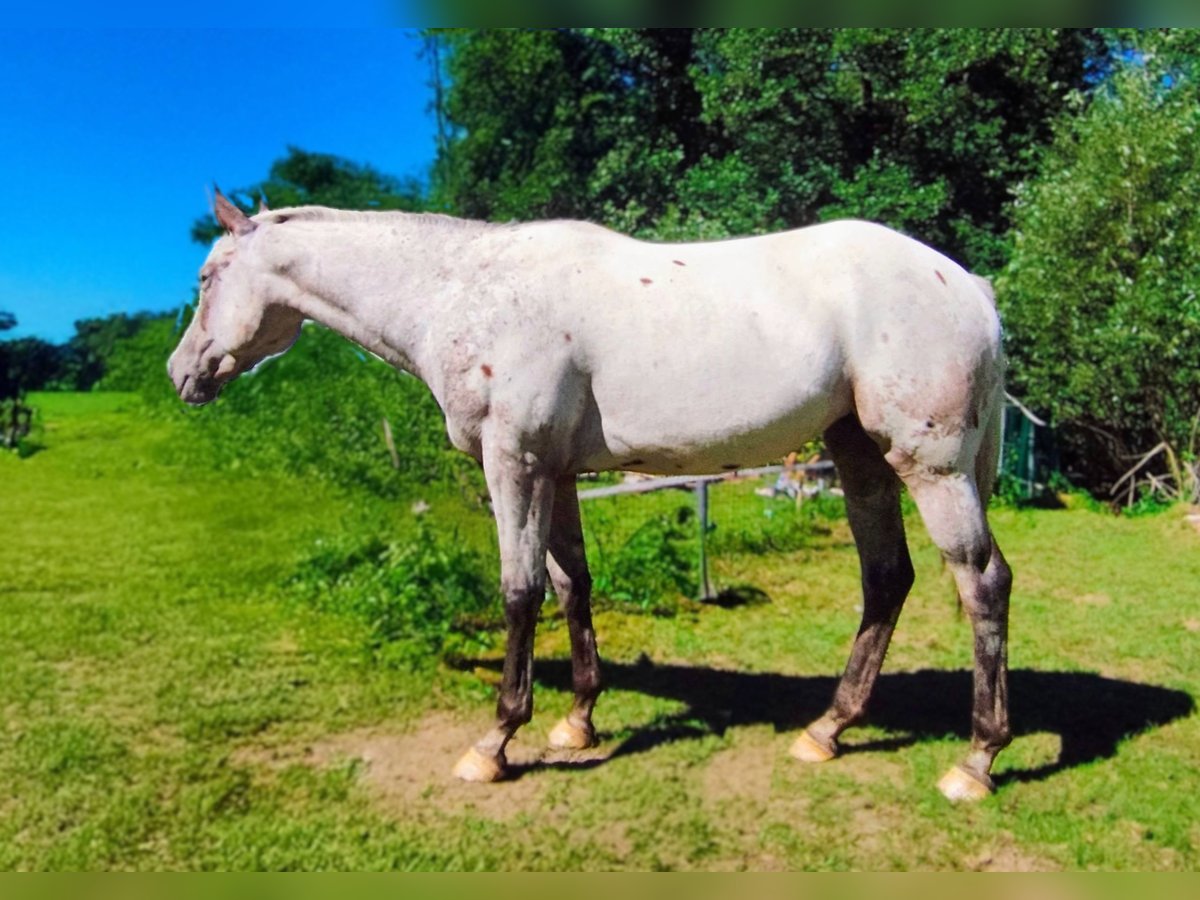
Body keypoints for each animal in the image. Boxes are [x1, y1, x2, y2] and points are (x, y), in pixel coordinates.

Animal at [169, 191, 1012, 802]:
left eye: (206, 279)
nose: (184, 373)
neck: (462, 289)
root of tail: (968, 284)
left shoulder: (512, 463)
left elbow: (519, 590)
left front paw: (496, 742)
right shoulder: (558, 472)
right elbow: (574, 582)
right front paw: (576, 723)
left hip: (931, 468)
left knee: (982, 582)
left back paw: (976, 761)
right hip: (860, 456)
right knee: (886, 579)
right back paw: (827, 730)